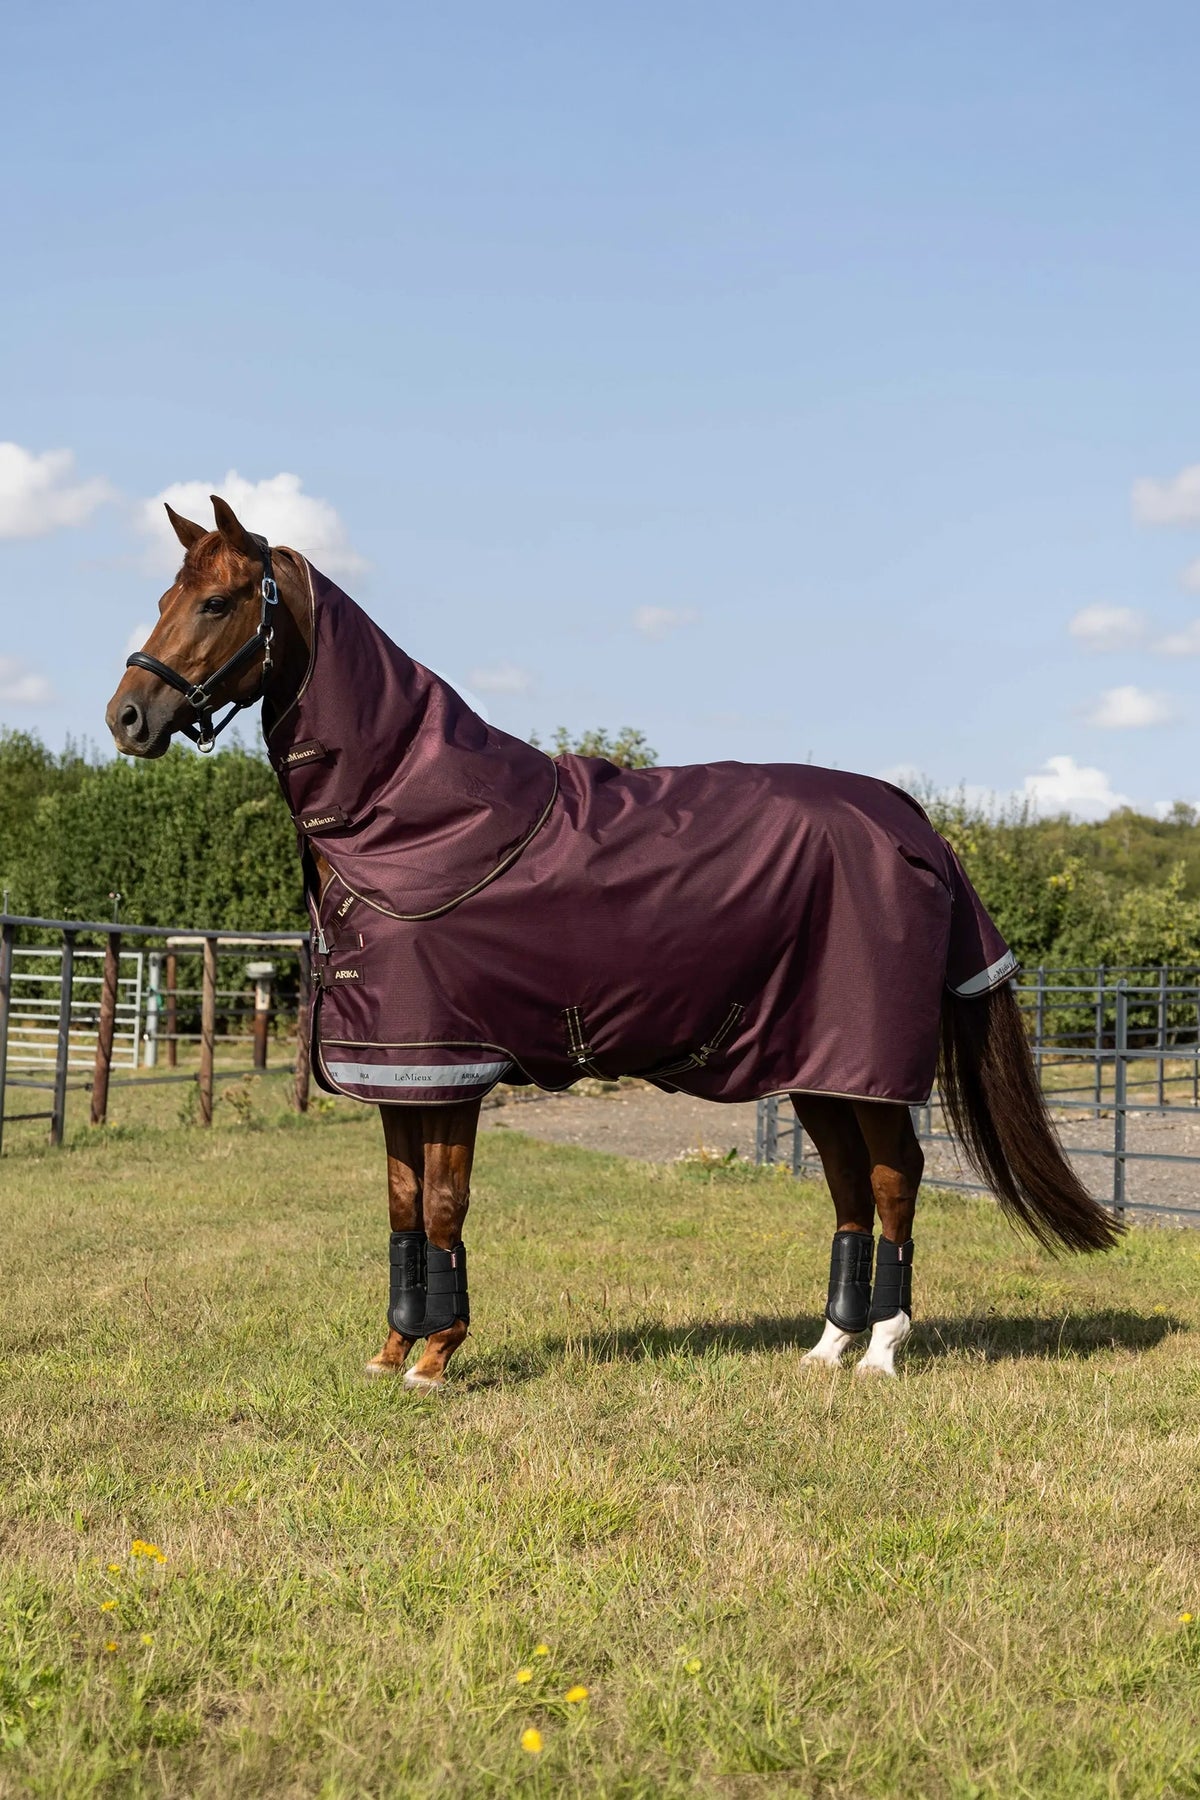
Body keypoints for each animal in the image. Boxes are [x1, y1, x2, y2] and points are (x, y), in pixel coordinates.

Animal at [105, 496, 1121, 1389]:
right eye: (161, 596)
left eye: (217, 602)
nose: (127, 717)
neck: (411, 822)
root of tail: (914, 821)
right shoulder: (397, 1067)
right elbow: (402, 1209)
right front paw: (393, 1352)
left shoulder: (452, 1065)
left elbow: (444, 1205)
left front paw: (438, 1360)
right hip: (818, 1065)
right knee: (847, 1185)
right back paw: (827, 1347)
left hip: (866, 1064)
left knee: (895, 1175)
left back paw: (881, 1352)